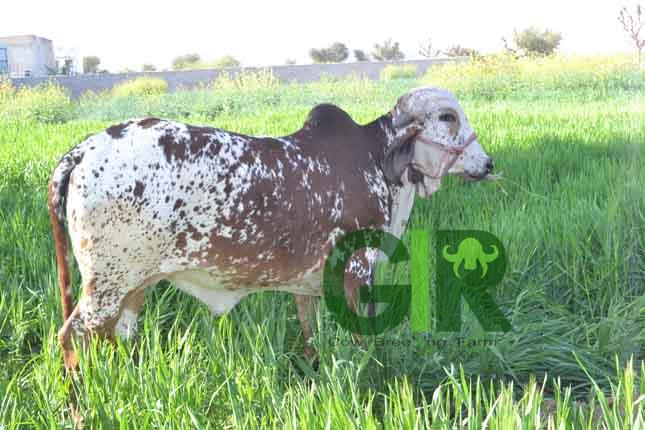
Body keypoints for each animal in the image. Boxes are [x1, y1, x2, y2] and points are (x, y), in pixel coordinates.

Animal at [49, 87, 495, 369]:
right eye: (447, 117)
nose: (487, 163)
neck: (376, 160)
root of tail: (83, 150)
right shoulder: (358, 272)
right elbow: (364, 341)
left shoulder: (311, 284)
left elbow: (310, 334)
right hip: (108, 283)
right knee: (72, 336)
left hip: (132, 285)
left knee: (110, 335)